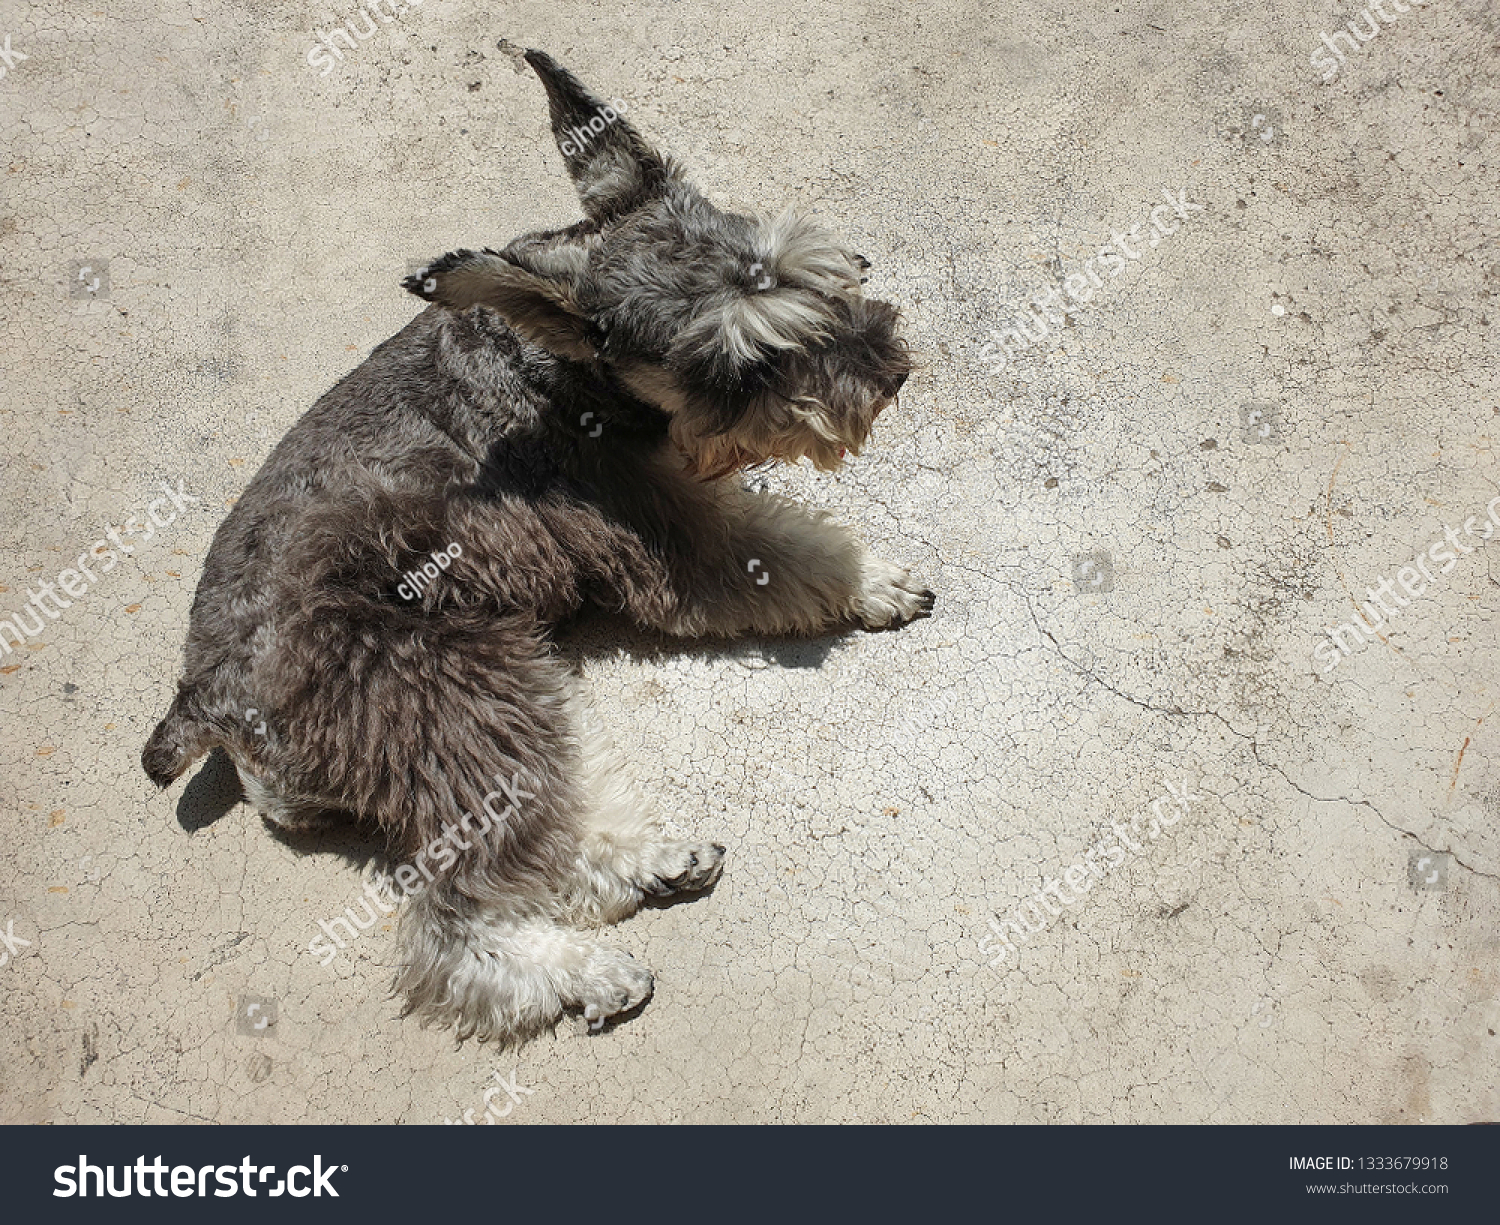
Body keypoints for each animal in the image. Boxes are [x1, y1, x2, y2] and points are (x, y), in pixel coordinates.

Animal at [143, 50, 936, 1043]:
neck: (557, 367)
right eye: (734, 369)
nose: (891, 372)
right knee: (452, 916)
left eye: (813, 271)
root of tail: (205, 699)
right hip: (455, 682)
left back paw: (650, 862)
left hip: (508, 696)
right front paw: (877, 580)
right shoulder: (675, 537)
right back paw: (582, 972)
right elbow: (786, 550)